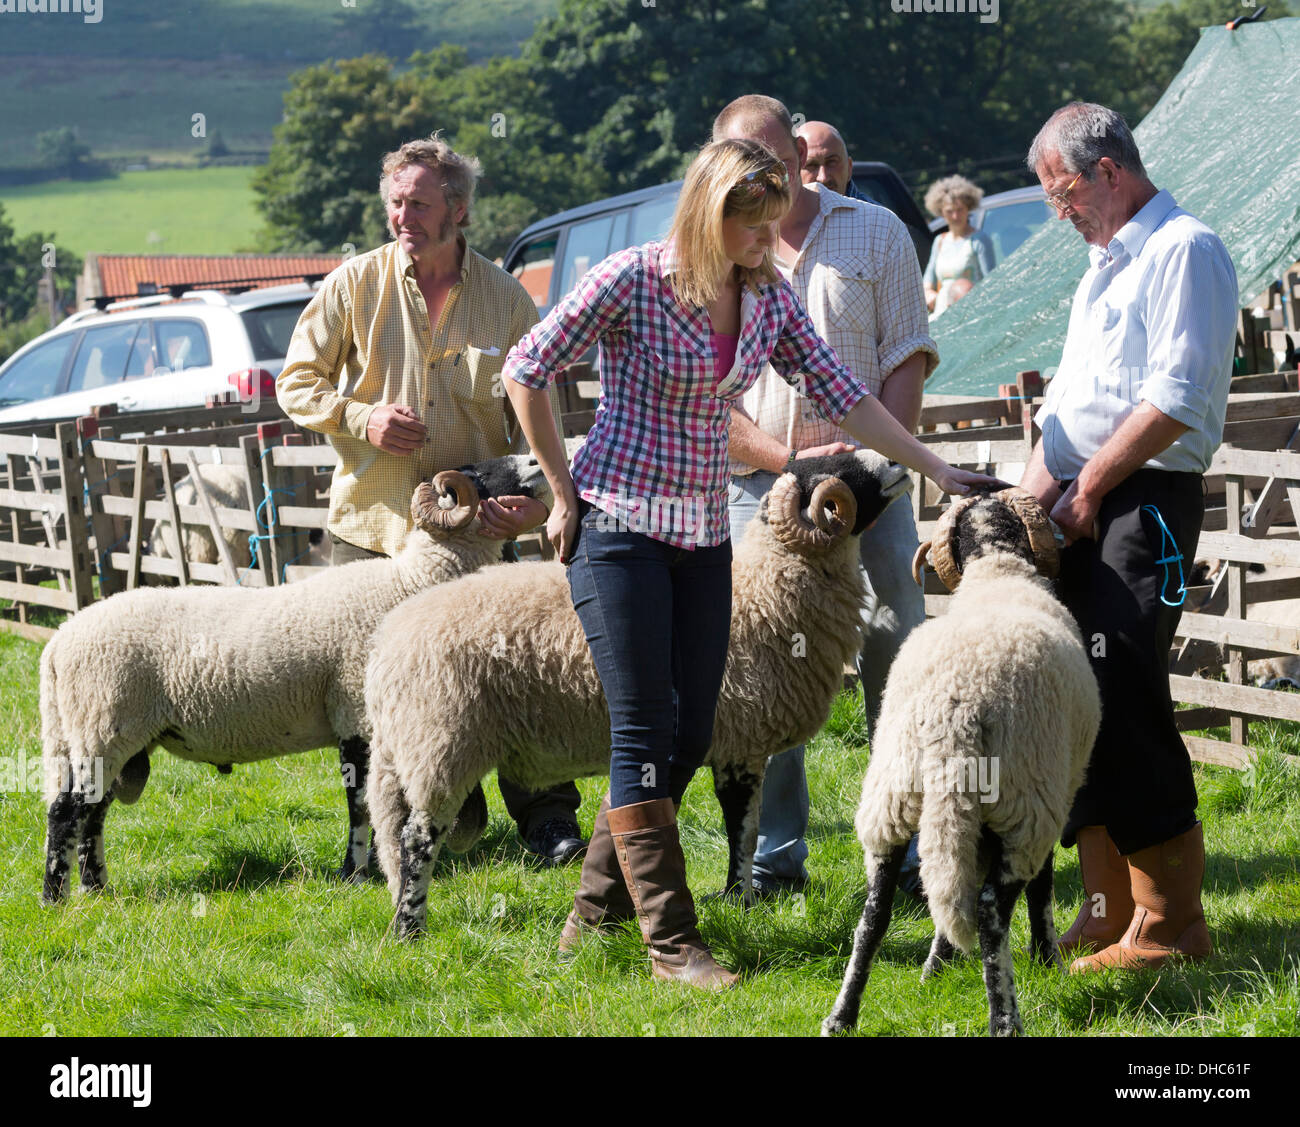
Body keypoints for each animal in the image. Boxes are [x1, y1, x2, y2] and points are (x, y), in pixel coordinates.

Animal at [39, 454, 548, 904]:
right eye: (477, 477)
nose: (536, 463)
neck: (410, 583)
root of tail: (58, 642)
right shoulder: (354, 713)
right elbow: (359, 803)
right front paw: (355, 873)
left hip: (105, 734)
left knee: (93, 815)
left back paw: (96, 888)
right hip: (104, 725)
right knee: (66, 812)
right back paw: (55, 898)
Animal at [361, 452, 915, 941]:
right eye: (835, 477)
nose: (899, 464)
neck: (764, 590)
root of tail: (387, 643)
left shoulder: (733, 740)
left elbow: (742, 825)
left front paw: (733, 901)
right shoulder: (738, 742)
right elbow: (741, 826)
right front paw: (740, 899)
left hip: (419, 748)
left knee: (399, 832)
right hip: (442, 742)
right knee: (416, 839)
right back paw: (409, 930)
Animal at [821, 491, 1097, 1039]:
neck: (997, 568)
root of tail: (956, 704)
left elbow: (951, 890)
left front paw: (937, 966)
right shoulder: (1052, 792)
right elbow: (1042, 891)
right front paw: (1047, 960)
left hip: (894, 799)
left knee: (875, 914)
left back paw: (842, 1015)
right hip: (1024, 803)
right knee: (992, 911)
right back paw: (1005, 1018)